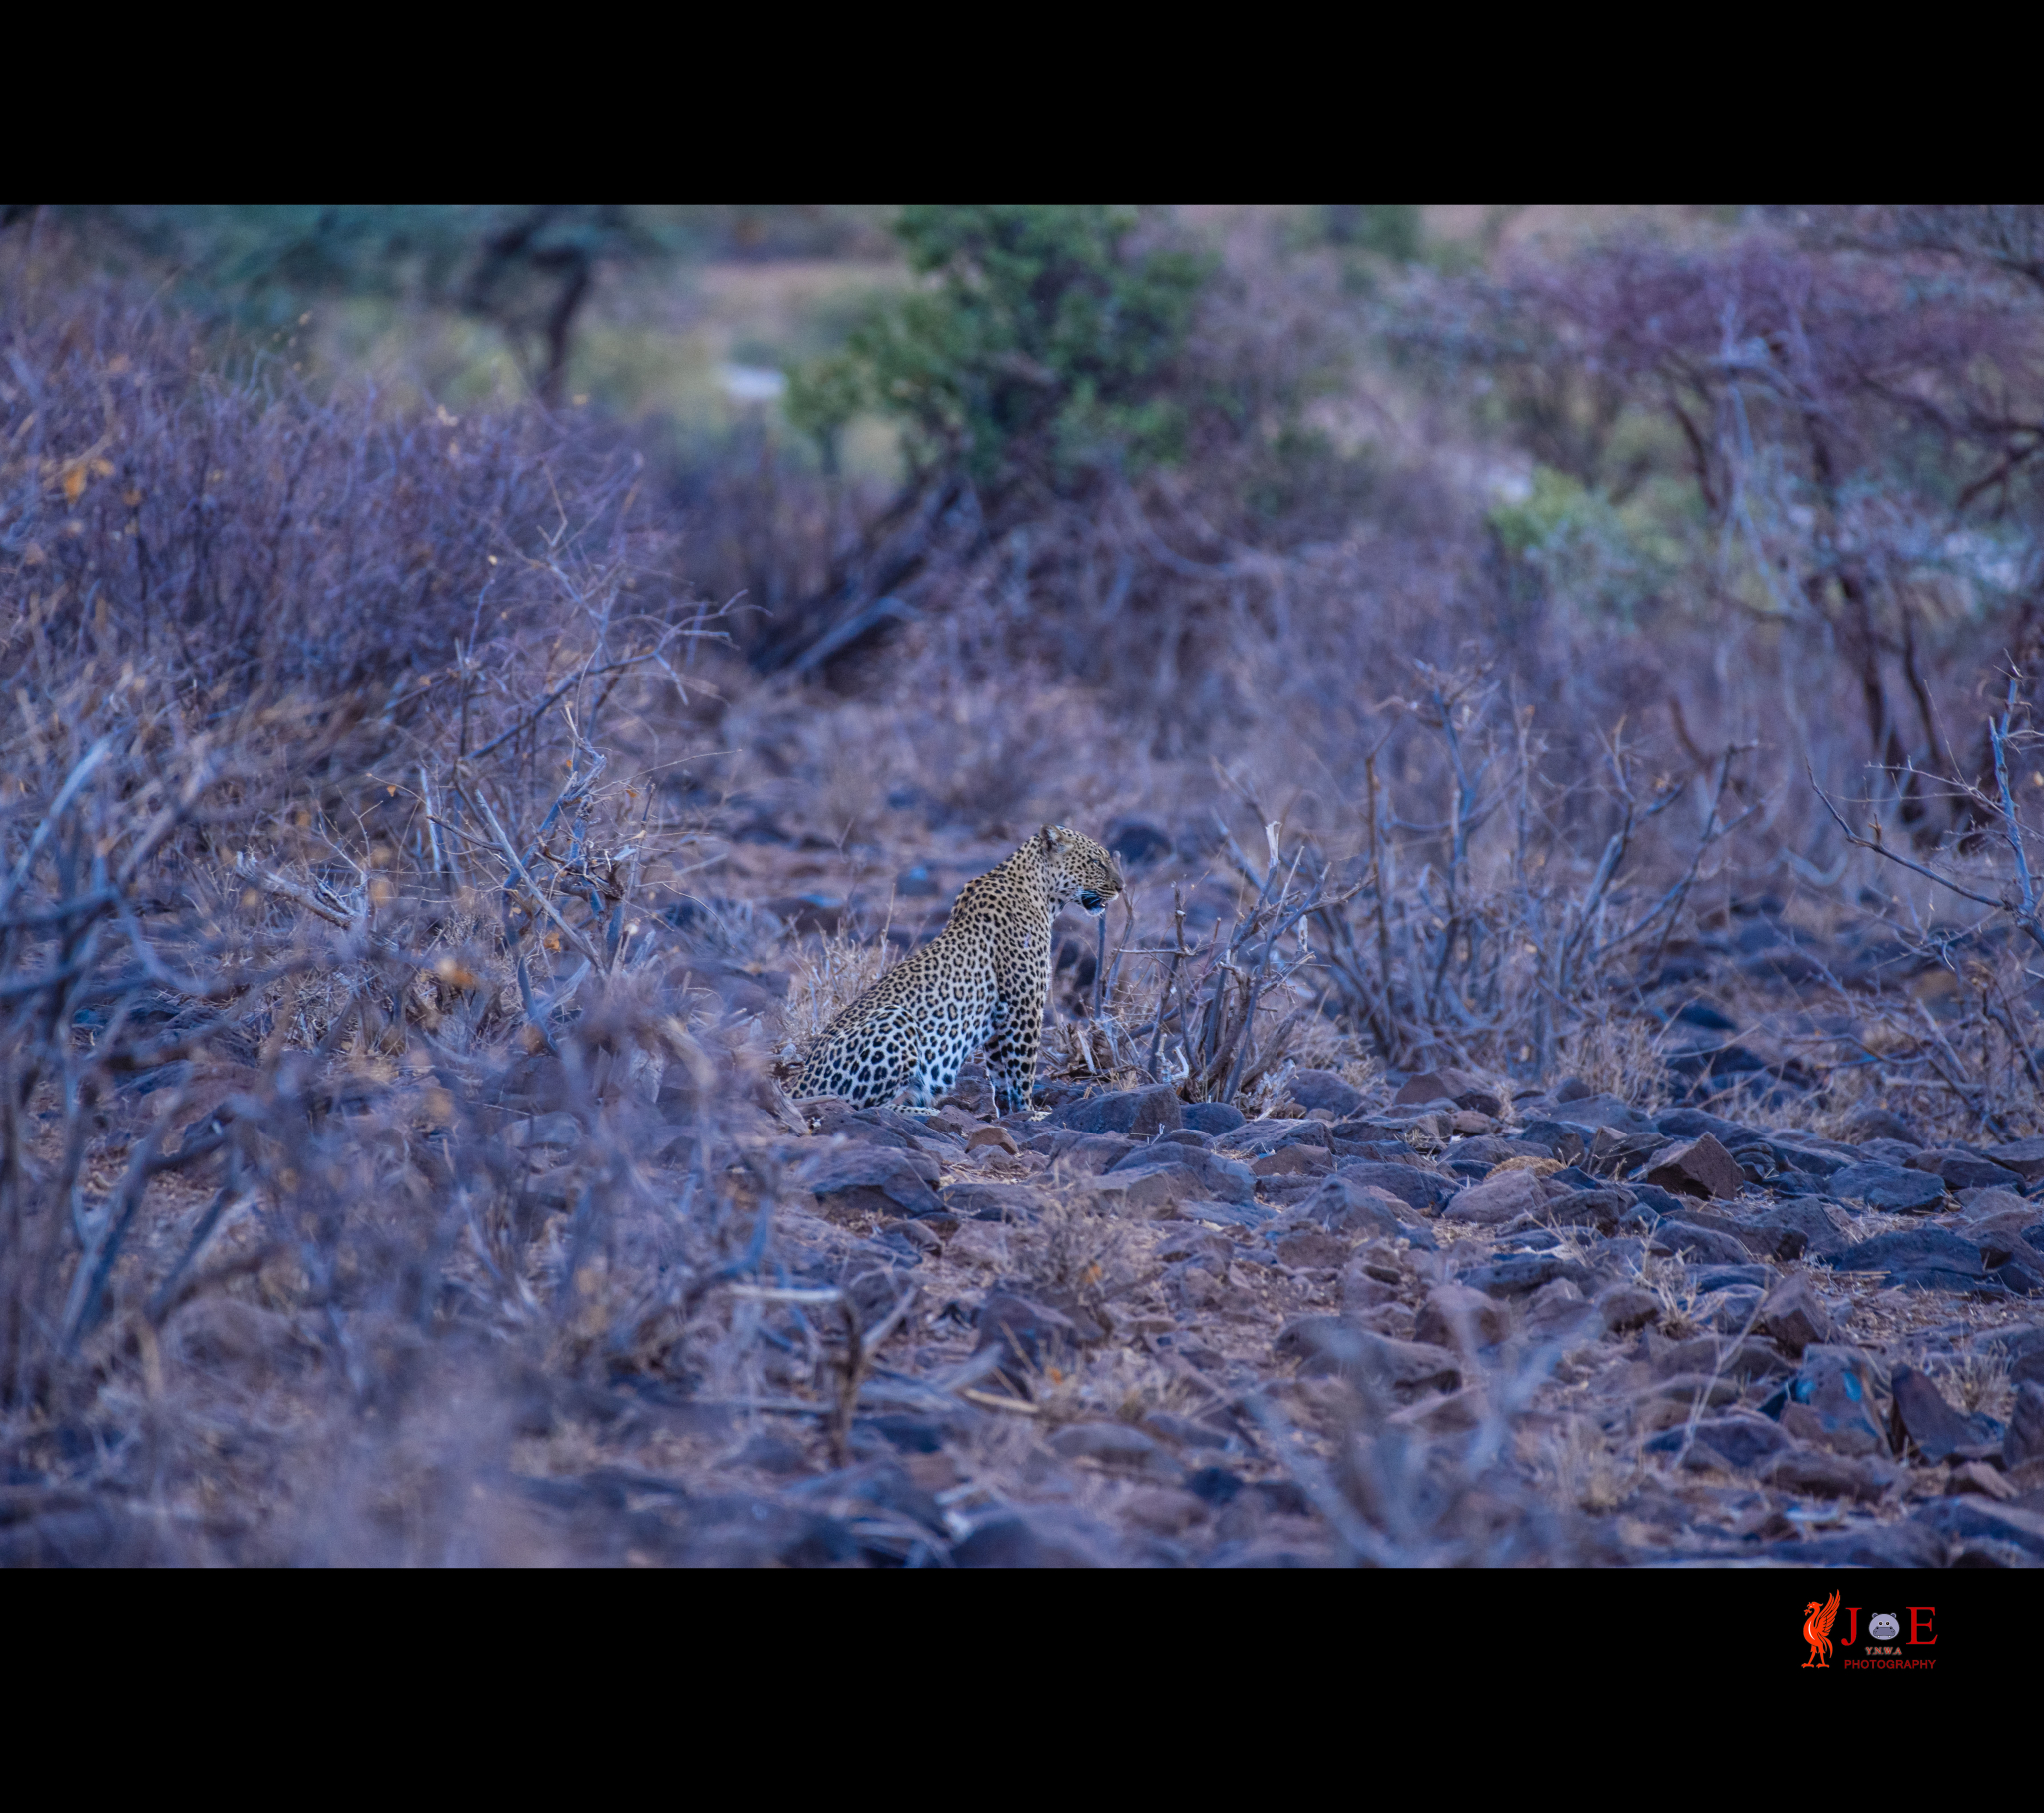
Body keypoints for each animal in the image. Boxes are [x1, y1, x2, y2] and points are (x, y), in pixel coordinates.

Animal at [788, 825, 1128, 1120]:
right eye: (1095, 861)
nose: (1121, 888)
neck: (1043, 895)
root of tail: (796, 1082)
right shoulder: (1023, 1006)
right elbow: (1023, 1069)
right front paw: (1031, 1113)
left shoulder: (998, 1017)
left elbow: (1001, 1074)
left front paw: (1008, 1114)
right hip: (897, 1019)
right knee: (861, 1106)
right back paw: (928, 1110)